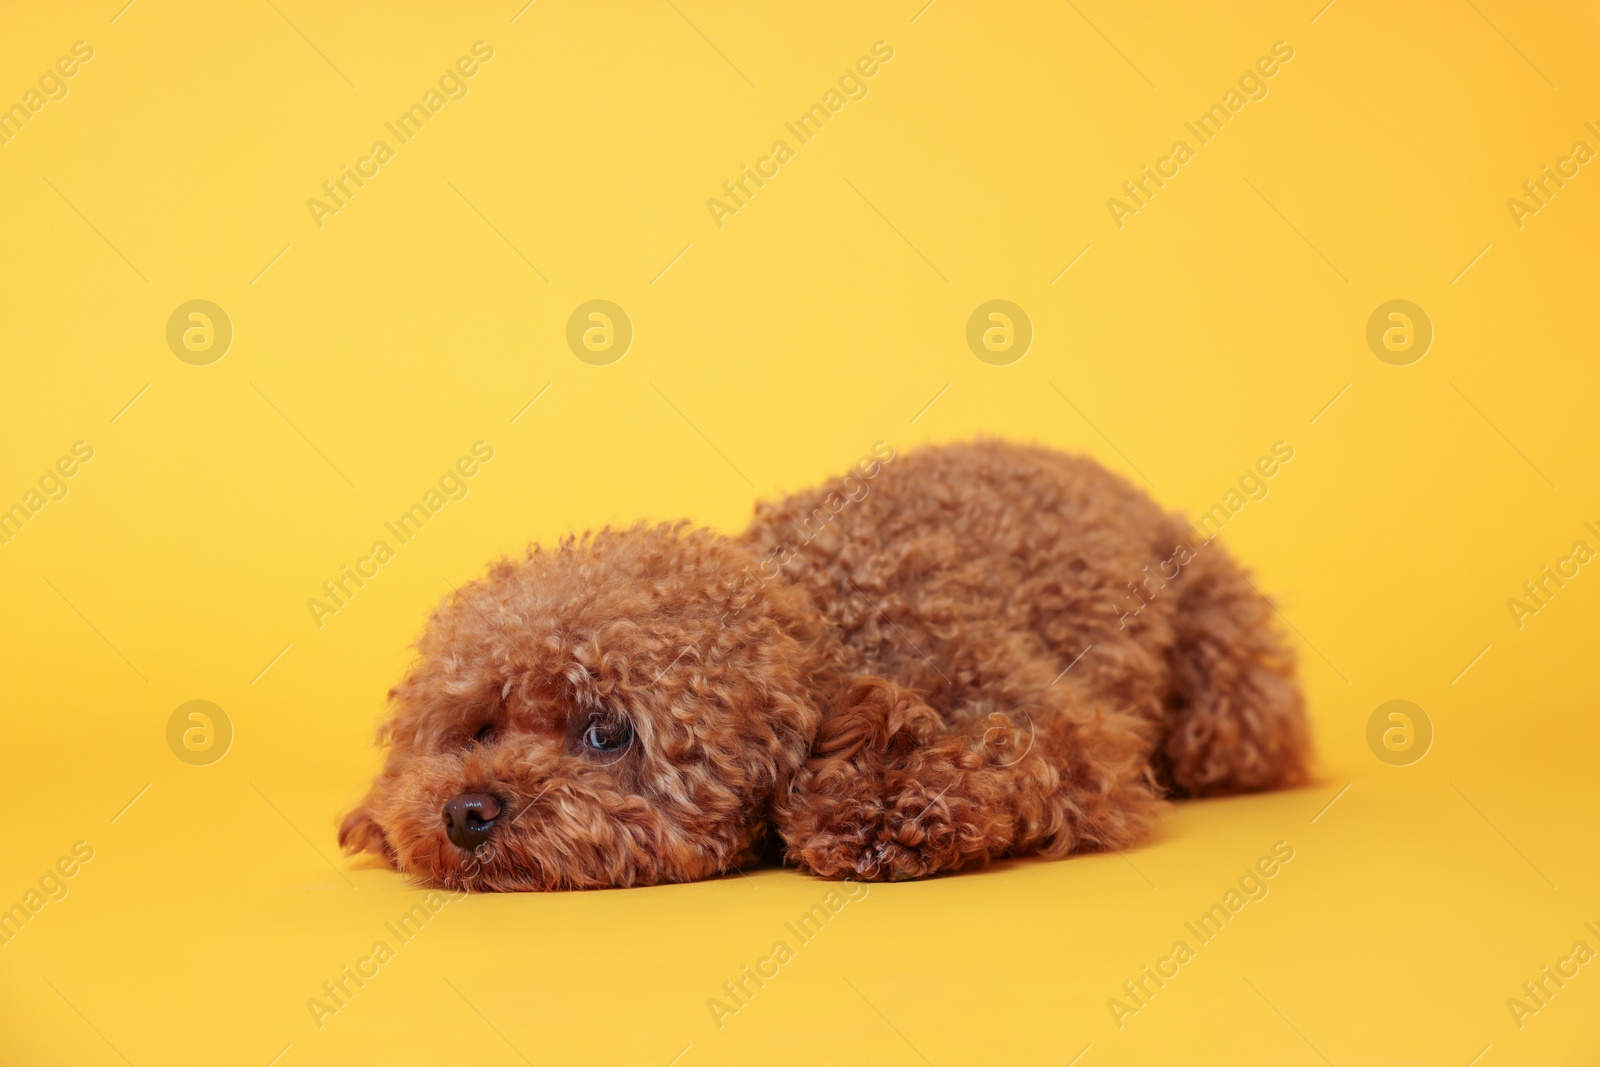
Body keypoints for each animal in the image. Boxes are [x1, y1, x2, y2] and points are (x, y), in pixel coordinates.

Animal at [340, 438, 1312, 889]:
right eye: (480, 726)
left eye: (607, 734)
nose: (467, 810)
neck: (830, 613)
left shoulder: (1063, 728)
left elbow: (1013, 761)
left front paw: (882, 814)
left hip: (1224, 676)